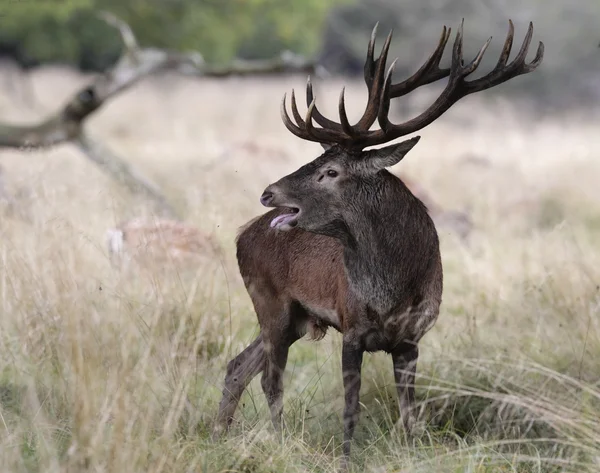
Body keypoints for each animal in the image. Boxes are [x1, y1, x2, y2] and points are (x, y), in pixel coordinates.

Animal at [216, 19, 544, 468]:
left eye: (331, 171)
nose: (269, 192)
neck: (392, 289)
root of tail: (242, 234)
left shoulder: (411, 339)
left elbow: (410, 414)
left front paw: (412, 454)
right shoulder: (352, 328)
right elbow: (351, 408)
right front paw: (344, 461)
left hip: (296, 318)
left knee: (240, 367)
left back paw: (216, 435)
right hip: (270, 301)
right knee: (269, 378)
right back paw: (276, 442)